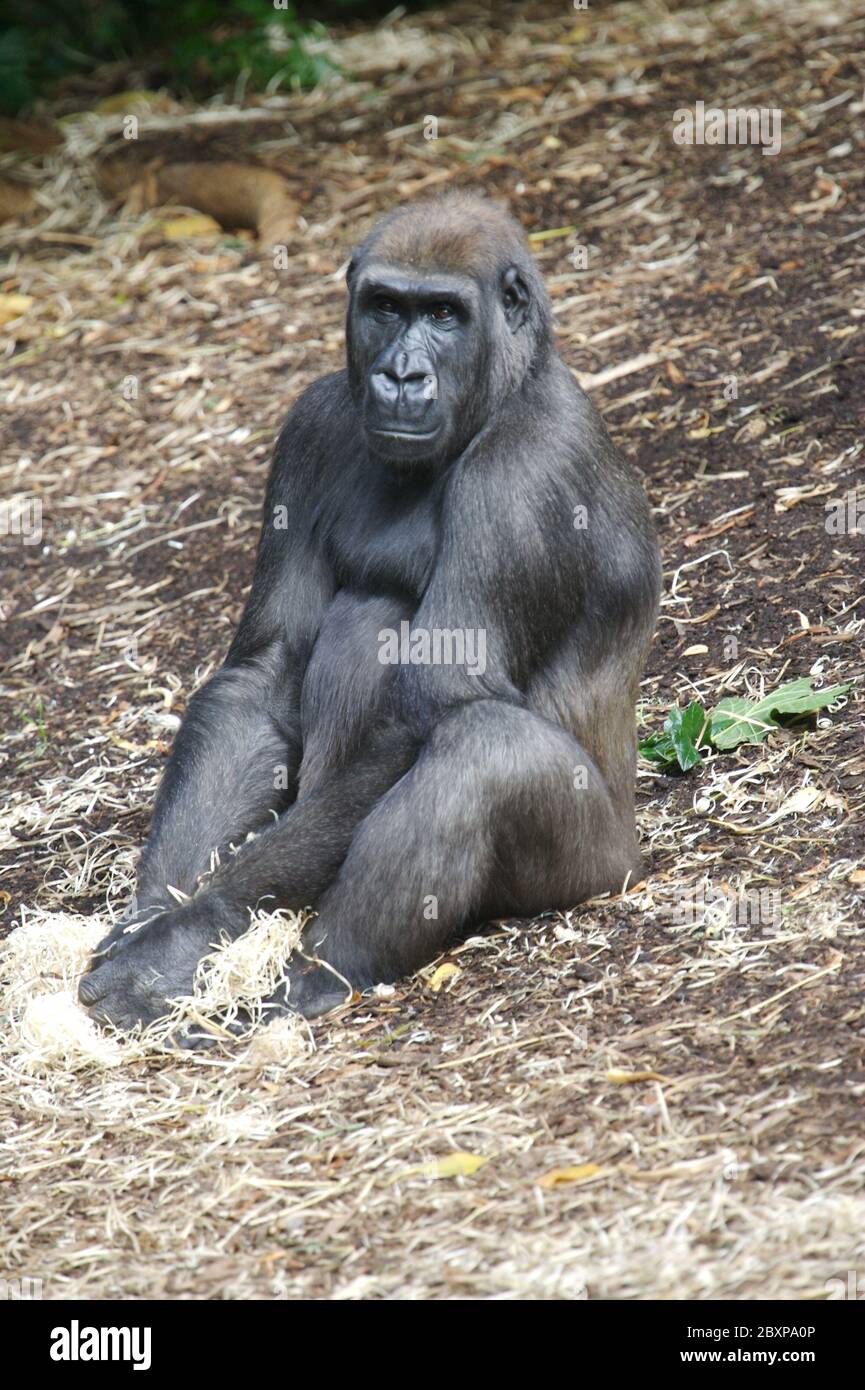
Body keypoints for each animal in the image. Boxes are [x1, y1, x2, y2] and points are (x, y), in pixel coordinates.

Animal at [81, 190, 664, 1028]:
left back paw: (324, 973)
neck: (507, 386)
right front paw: (158, 910)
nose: (400, 375)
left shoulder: (521, 472)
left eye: (446, 314)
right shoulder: (312, 422)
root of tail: (634, 859)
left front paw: (189, 931)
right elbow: (266, 675)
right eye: (385, 307)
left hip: (596, 871)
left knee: (483, 745)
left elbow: (439, 703)